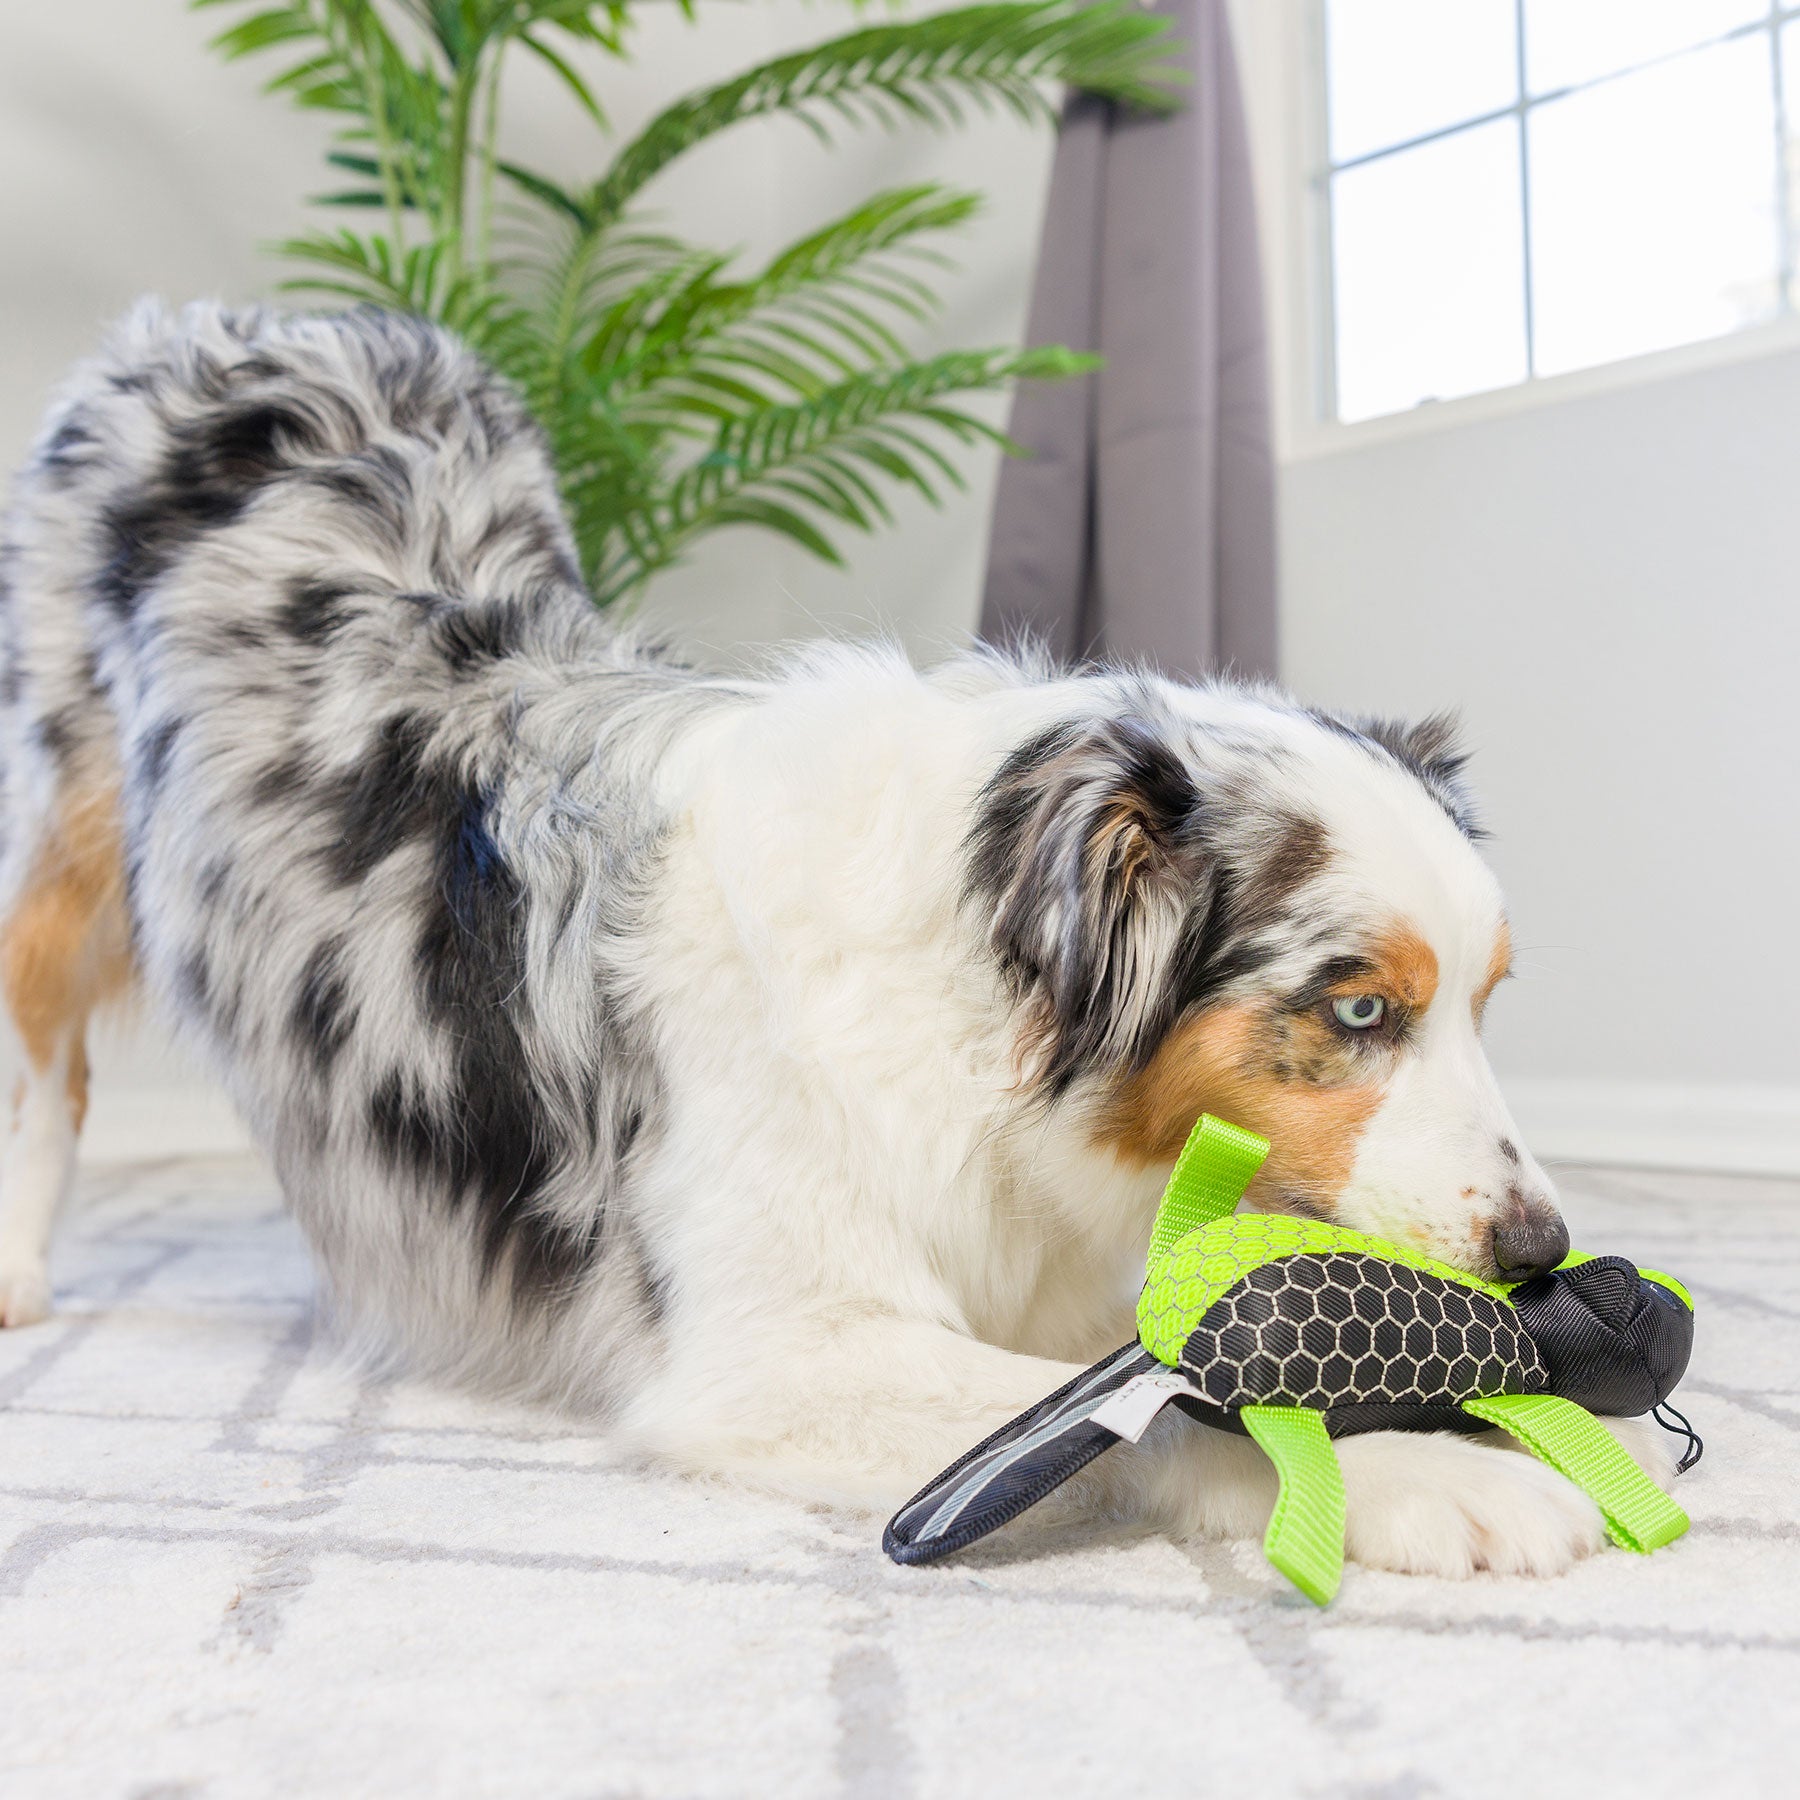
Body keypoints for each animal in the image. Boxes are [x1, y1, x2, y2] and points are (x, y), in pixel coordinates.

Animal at [0, 306, 1656, 1576]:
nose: (1541, 1254)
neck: (969, 1007)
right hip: (60, 839)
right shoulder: (781, 1350)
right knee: (45, 1060)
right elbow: (1116, 1408)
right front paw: (1444, 1477)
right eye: (1360, 1010)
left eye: (1487, 1004)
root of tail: (238, 323)